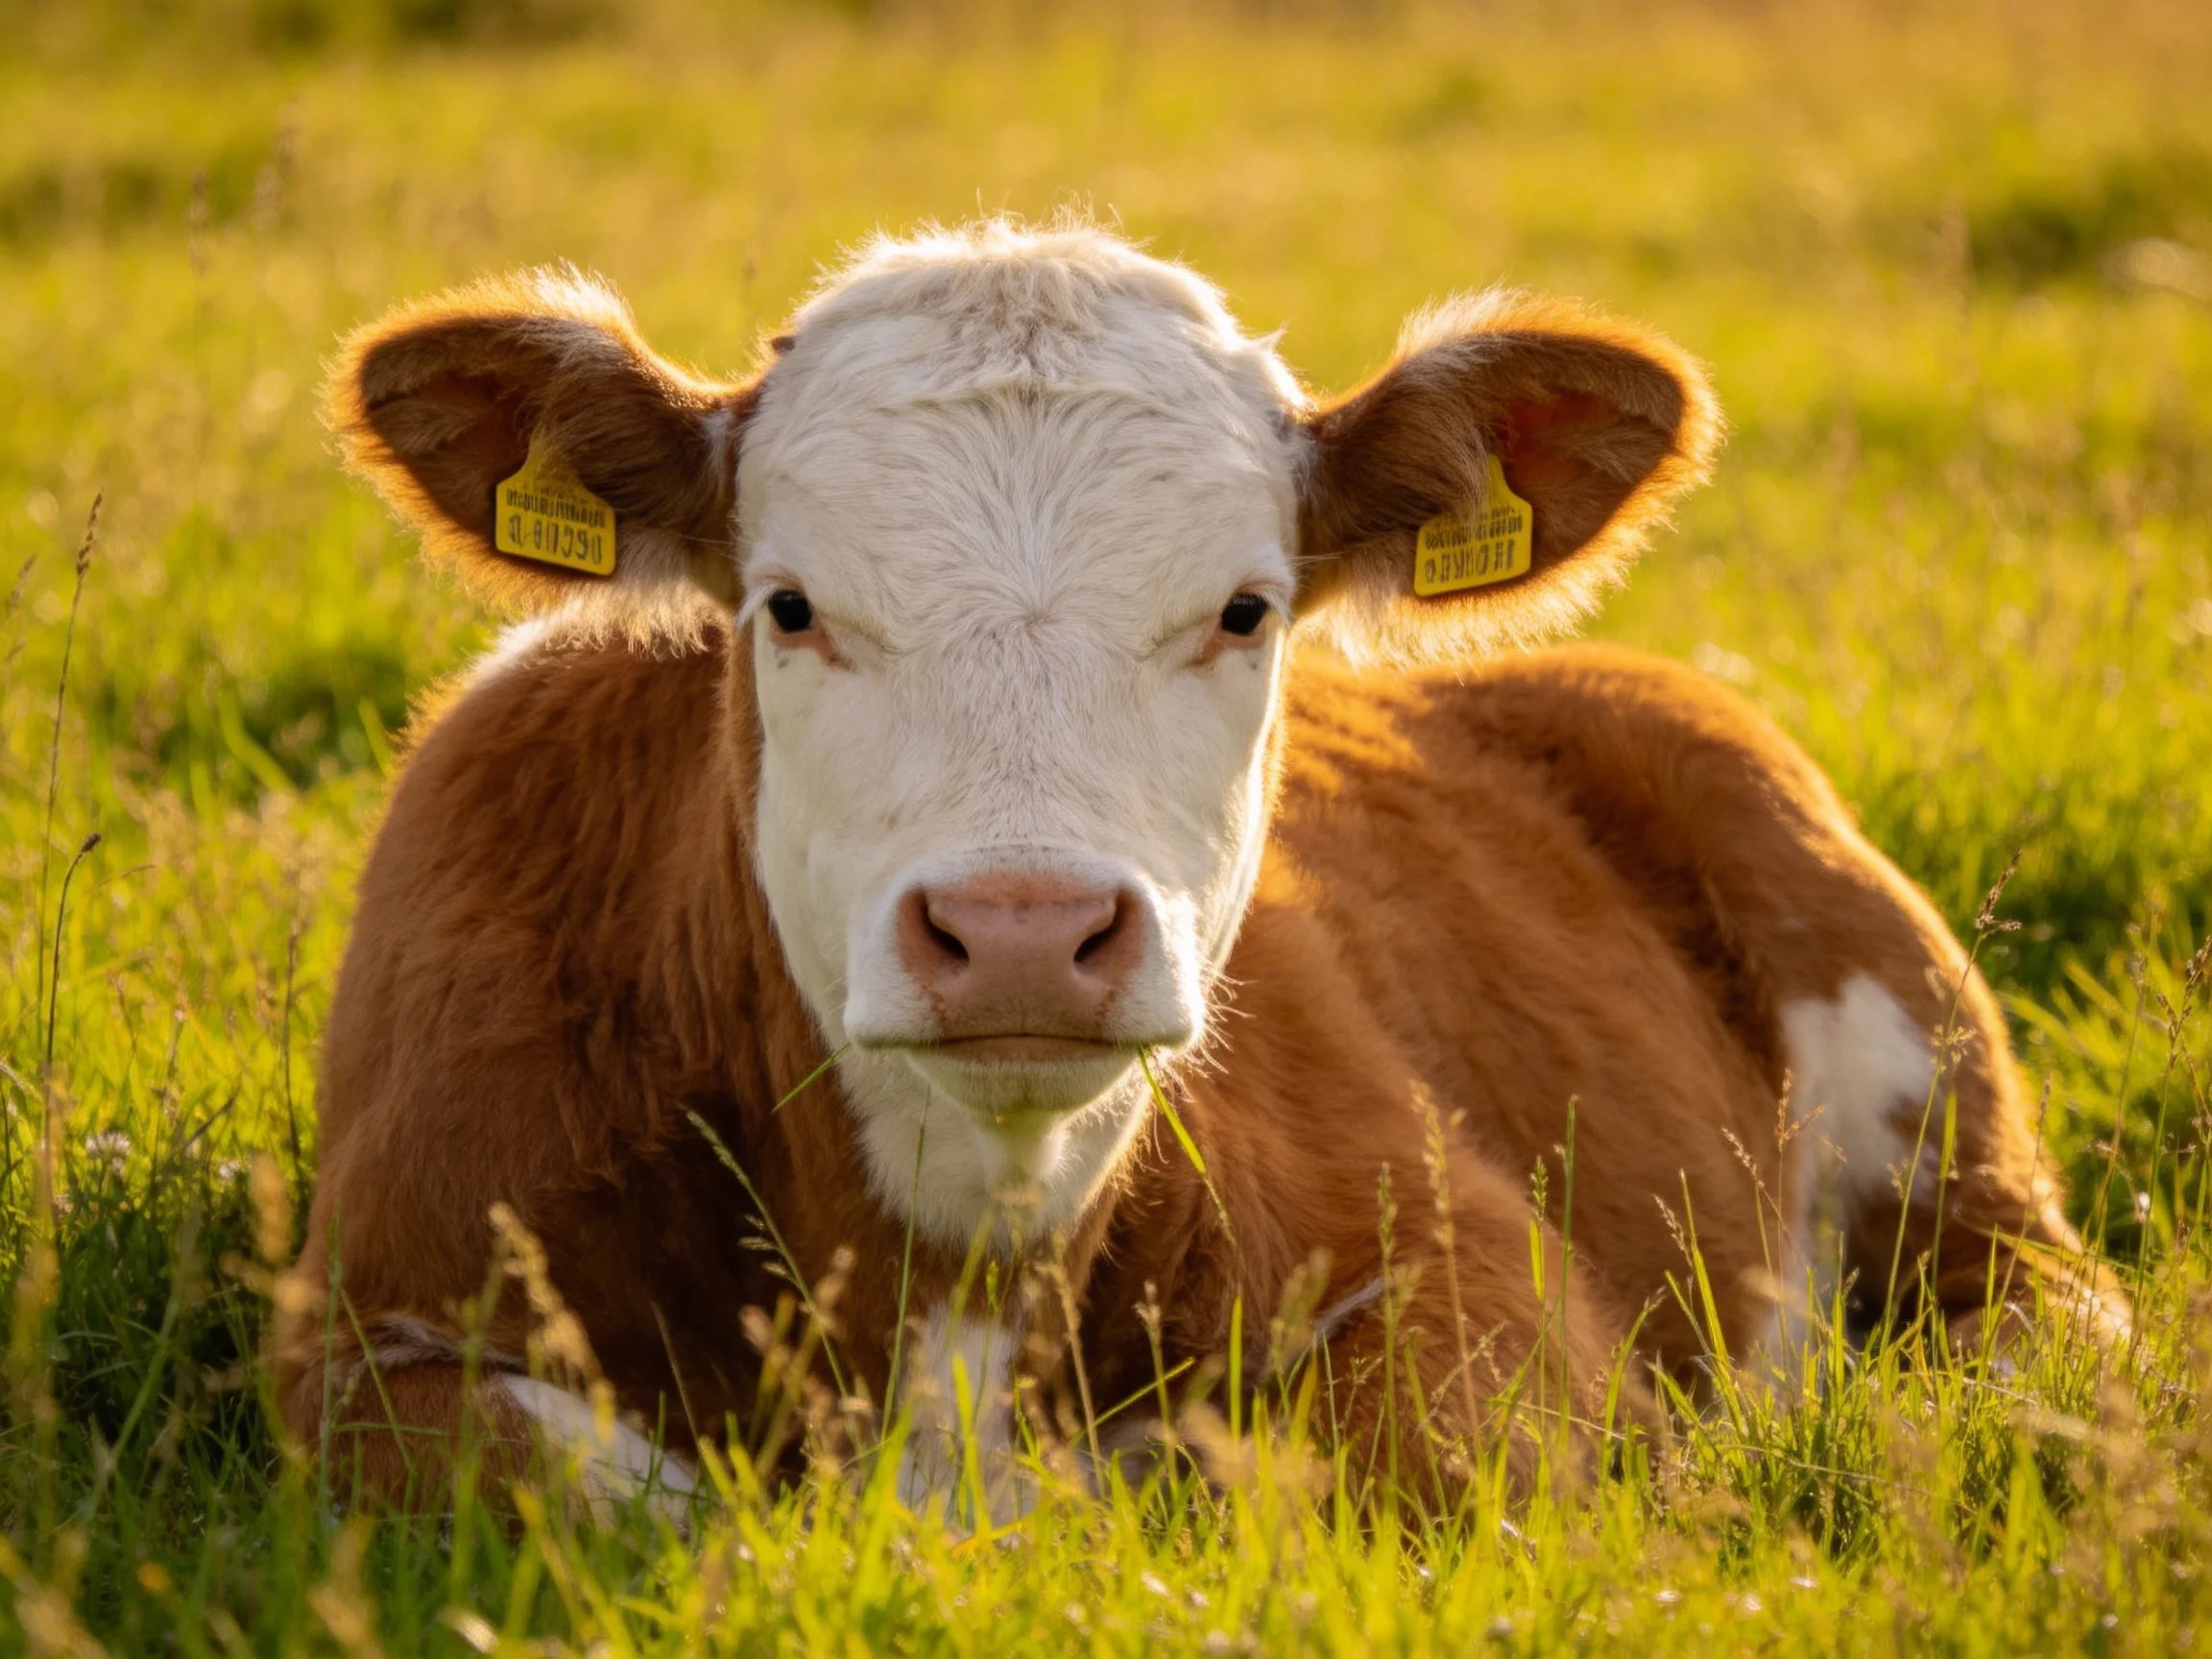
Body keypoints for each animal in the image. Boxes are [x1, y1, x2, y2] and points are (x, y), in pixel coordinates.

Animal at [275, 218, 2123, 1516]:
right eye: (787, 604)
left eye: (1244, 606)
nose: (1023, 931)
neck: (960, 1265)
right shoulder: (360, 1340)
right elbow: (622, 1498)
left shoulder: (1487, 1291)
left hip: (1943, 1113)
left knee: (2038, 1328)